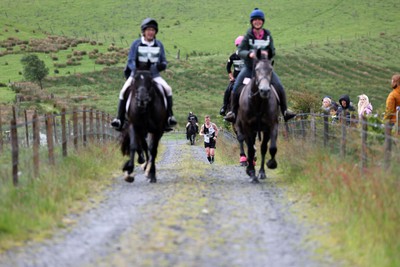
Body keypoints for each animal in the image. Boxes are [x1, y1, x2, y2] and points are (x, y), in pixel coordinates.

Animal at [234, 49, 278, 184]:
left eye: (271, 70)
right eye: (257, 69)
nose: (264, 90)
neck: (258, 102)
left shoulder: (271, 126)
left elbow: (269, 147)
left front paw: (268, 166)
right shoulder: (245, 126)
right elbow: (248, 147)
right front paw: (251, 172)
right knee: (247, 144)